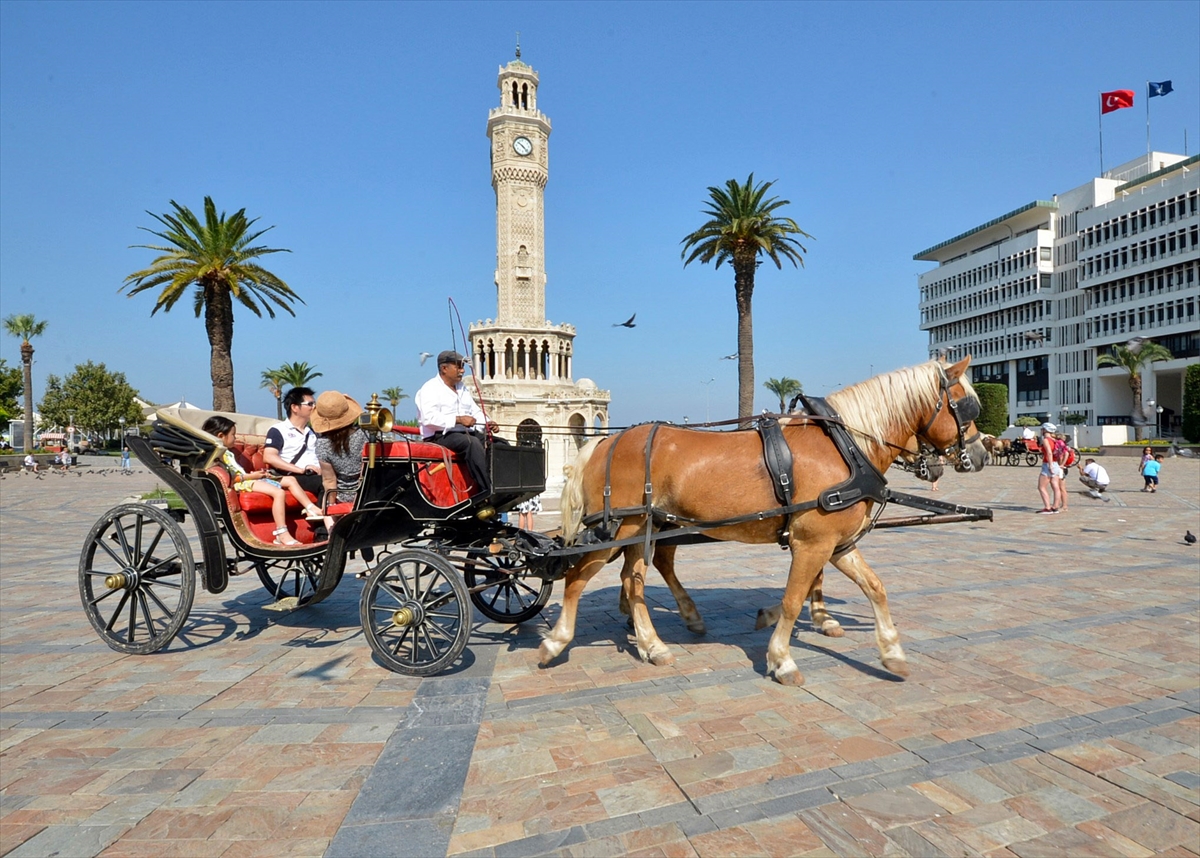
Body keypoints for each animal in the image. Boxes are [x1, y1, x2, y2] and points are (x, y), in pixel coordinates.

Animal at [549, 355, 988, 686]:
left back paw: (656, 640)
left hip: (649, 528)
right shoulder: (812, 543)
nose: (982, 453)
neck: (846, 446)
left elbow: (874, 588)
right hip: (623, 528)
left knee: (637, 578)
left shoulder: (838, 544)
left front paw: (891, 651)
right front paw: (782, 658)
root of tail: (604, 442)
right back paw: (558, 640)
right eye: (967, 406)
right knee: (581, 578)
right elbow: (794, 598)